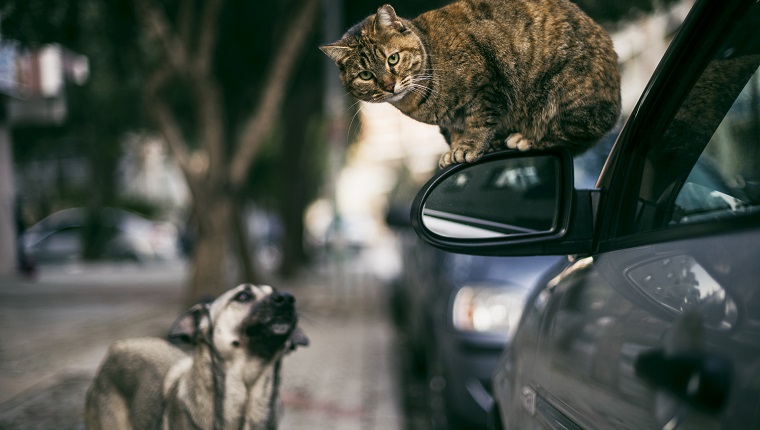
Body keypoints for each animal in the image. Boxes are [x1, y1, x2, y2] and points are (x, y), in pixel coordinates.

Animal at [320, 0, 624, 168]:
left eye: (392, 59)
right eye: (365, 75)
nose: (389, 86)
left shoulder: (486, 86)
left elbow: (479, 121)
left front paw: (469, 147)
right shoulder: (449, 121)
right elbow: (454, 131)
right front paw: (454, 149)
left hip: (566, 93)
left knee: (576, 134)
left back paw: (526, 138)